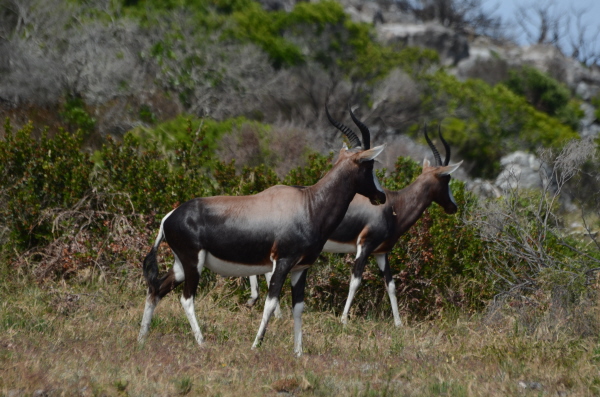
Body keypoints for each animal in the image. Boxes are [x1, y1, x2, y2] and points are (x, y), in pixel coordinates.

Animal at [139, 105, 386, 356]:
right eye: (370, 165)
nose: (381, 196)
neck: (308, 203)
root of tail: (168, 217)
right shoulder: (282, 263)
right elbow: (271, 303)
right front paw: (256, 344)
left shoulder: (300, 268)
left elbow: (298, 308)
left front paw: (298, 352)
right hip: (193, 264)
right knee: (186, 299)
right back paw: (201, 342)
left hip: (181, 265)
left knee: (156, 288)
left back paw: (142, 338)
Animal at [246, 123, 462, 324]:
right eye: (447, 178)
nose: (454, 206)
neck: (394, 204)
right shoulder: (365, 246)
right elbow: (355, 281)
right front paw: (343, 319)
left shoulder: (381, 252)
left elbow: (391, 284)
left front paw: (399, 324)